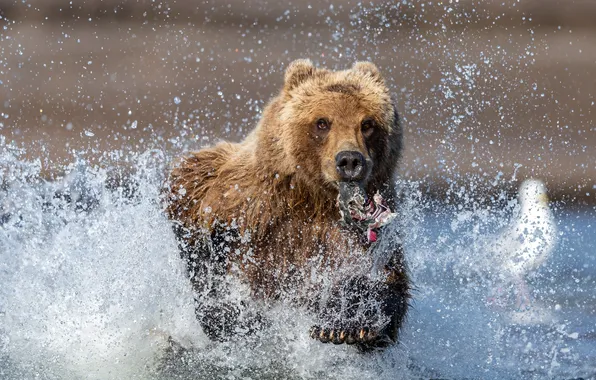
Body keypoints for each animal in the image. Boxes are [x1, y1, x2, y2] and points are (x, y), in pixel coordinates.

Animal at [166, 59, 410, 350]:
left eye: (368, 123)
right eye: (322, 122)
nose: (350, 160)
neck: (314, 198)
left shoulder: (368, 235)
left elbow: (386, 283)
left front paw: (344, 325)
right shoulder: (242, 199)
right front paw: (236, 316)